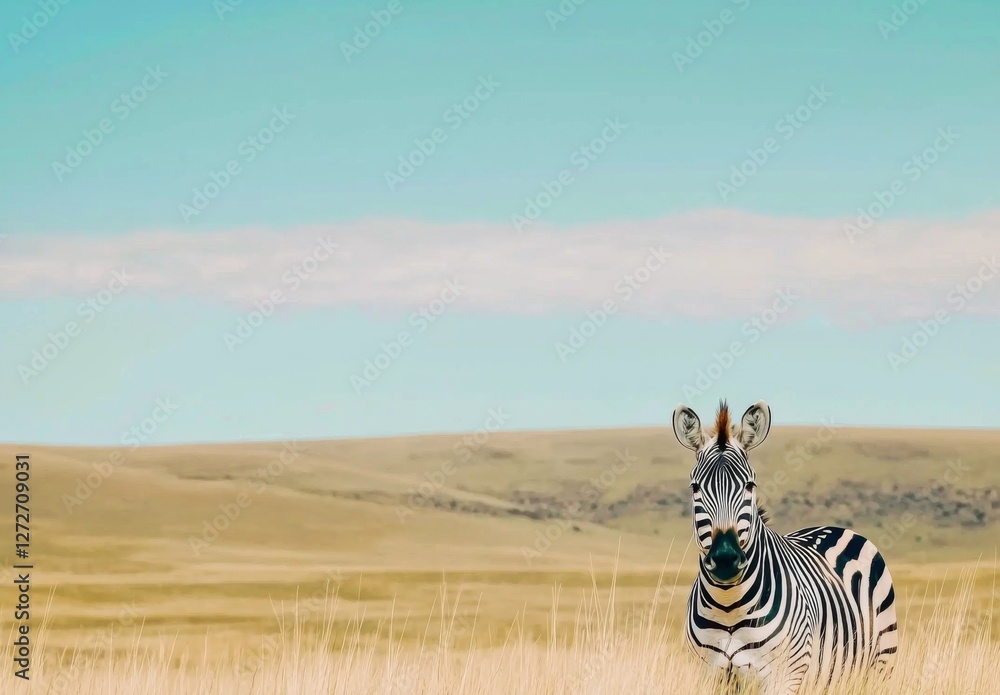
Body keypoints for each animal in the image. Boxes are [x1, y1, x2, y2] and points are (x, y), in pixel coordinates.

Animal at [672, 400, 898, 694]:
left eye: (750, 485)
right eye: (695, 487)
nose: (725, 559)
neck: (729, 607)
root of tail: (837, 528)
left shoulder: (783, 678)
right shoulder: (709, 676)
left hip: (882, 663)